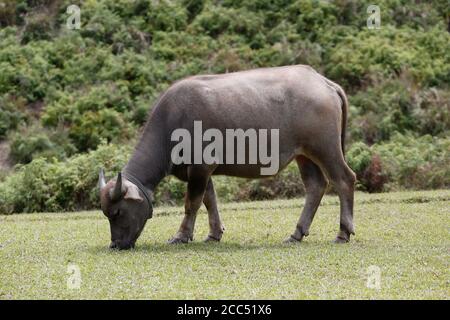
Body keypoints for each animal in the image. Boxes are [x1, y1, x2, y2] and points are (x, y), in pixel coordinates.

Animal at [97, 64, 356, 250]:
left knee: (344, 179)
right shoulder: (200, 171)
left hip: (325, 148)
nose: (115, 245)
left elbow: (192, 203)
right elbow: (209, 200)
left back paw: (343, 232)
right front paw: (213, 234)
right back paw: (296, 234)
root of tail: (323, 82)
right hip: (304, 154)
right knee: (316, 185)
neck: (172, 122)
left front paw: (182, 235)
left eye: (117, 213)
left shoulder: (200, 167)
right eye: (105, 214)